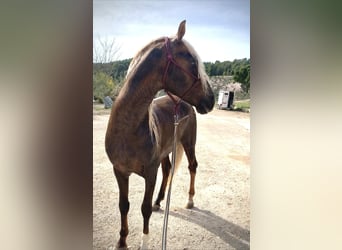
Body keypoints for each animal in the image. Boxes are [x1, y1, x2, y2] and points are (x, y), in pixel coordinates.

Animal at [105, 20, 215, 249]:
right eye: (193, 63)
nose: (211, 100)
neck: (129, 129)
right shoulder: (119, 171)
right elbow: (123, 205)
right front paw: (122, 241)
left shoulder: (150, 173)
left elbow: (143, 208)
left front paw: (144, 242)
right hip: (165, 151)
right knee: (168, 169)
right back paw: (159, 201)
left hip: (188, 143)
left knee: (192, 166)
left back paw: (189, 200)